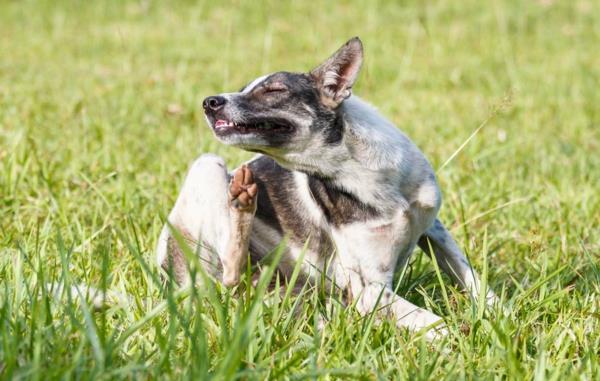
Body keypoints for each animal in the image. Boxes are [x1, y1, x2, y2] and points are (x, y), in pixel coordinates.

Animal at [156, 37, 496, 336]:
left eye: (274, 90)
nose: (208, 102)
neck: (359, 170)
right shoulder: (370, 290)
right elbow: (435, 323)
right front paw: (464, 338)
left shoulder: (433, 228)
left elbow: (474, 280)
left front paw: (496, 315)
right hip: (207, 165)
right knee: (230, 271)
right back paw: (241, 200)